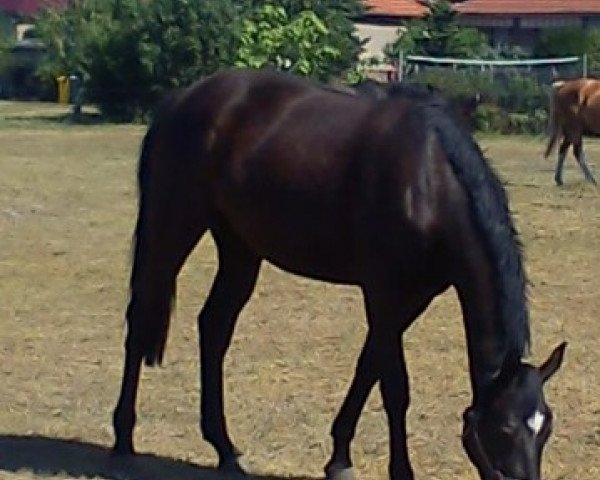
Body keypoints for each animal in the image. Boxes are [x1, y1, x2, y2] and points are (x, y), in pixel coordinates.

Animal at [112, 68, 568, 480]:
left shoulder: (412, 299)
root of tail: (180, 100)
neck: (428, 182)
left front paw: (339, 458)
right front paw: (400, 472)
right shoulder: (383, 294)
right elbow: (394, 386)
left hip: (240, 249)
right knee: (140, 320)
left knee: (214, 327)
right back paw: (123, 439)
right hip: (172, 228)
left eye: (545, 426)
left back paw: (223, 447)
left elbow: (367, 369)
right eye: (505, 429)